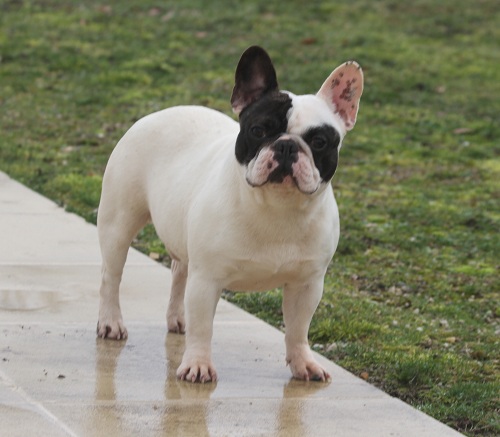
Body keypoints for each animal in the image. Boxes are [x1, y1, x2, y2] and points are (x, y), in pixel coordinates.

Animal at [97, 46, 363, 383]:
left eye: (319, 141)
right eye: (259, 130)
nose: (287, 146)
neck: (277, 207)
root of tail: (162, 111)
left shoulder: (308, 284)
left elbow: (298, 329)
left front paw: (303, 363)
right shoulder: (207, 279)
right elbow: (203, 328)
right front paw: (197, 364)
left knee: (179, 273)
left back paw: (177, 318)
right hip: (118, 224)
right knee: (112, 276)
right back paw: (110, 322)